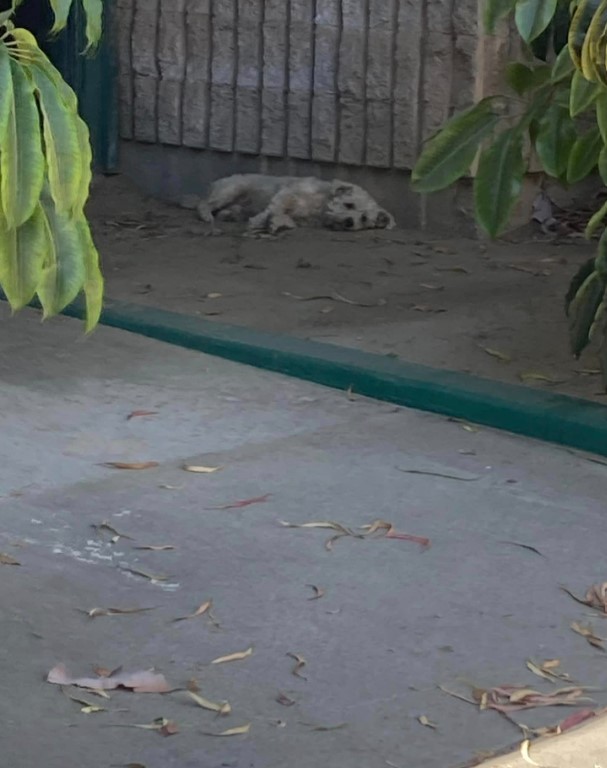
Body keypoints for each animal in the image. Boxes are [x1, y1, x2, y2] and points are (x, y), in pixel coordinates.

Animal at [183, 174, 396, 234]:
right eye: (349, 205)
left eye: (364, 218)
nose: (349, 223)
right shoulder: (287, 194)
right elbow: (275, 207)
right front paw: (262, 221)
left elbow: (286, 218)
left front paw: (277, 224)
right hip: (232, 189)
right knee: (204, 204)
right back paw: (206, 215)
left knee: (225, 211)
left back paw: (230, 215)